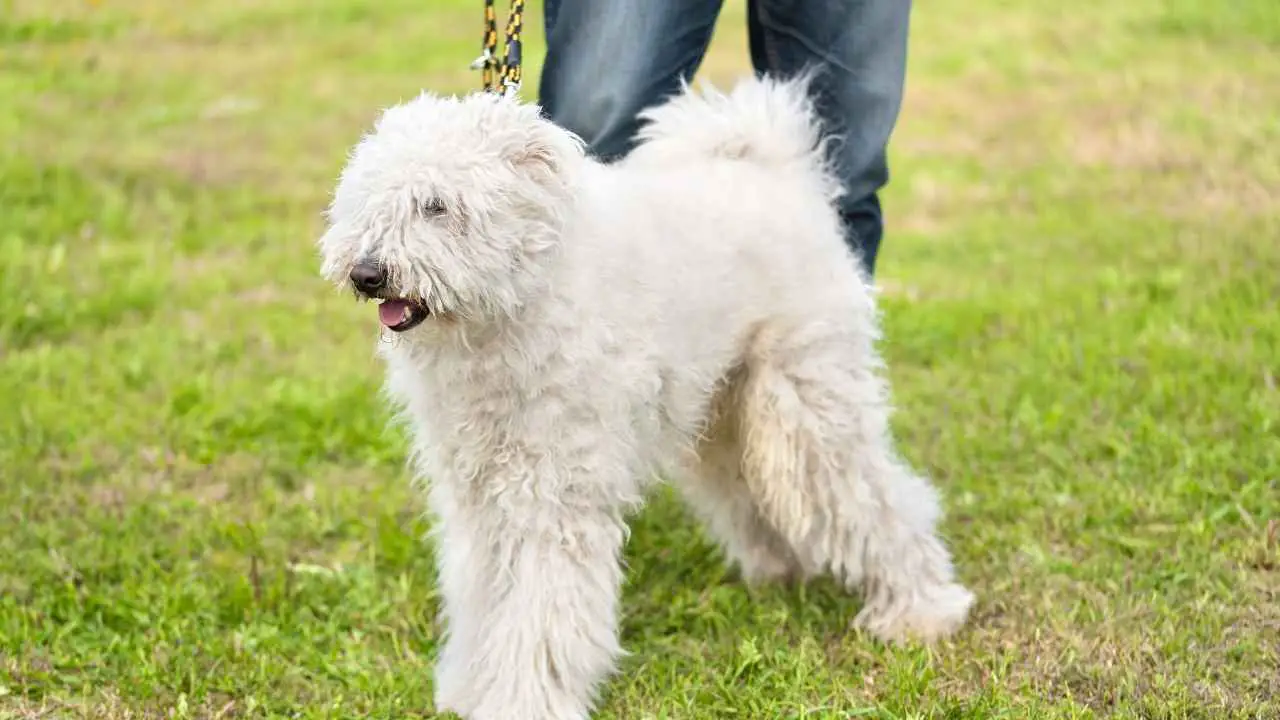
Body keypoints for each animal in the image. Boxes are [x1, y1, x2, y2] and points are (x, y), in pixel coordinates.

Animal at [317, 74, 967, 717]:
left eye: (436, 205)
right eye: (370, 201)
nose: (367, 273)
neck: (517, 303)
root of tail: (774, 170)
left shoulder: (553, 497)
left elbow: (538, 612)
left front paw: (523, 699)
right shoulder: (477, 497)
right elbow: (480, 598)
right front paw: (466, 687)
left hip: (806, 407)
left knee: (881, 499)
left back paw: (922, 610)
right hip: (725, 415)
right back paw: (785, 571)